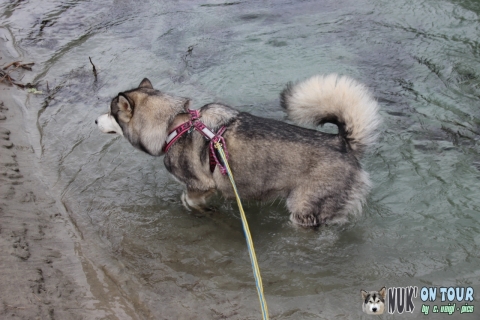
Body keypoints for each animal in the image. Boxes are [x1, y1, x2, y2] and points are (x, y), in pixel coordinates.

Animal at [95, 74, 380, 226]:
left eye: (110, 112)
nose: (95, 121)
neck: (174, 124)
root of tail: (342, 143)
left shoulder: (201, 185)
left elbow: (188, 199)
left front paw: (203, 210)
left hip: (305, 209)